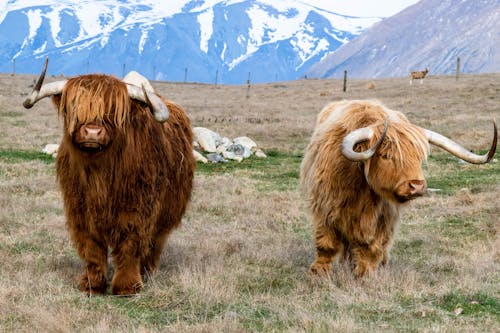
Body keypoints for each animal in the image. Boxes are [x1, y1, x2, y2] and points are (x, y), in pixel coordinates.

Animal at [23, 59, 195, 294]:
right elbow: (92, 248)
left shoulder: (137, 210)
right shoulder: (81, 211)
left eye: (113, 111)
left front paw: (127, 286)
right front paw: (91, 284)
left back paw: (147, 272)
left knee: (155, 243)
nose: (92, 132)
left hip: (169, 210)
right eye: (75, 108)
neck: (100, 175)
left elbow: (130, 245)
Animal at [300, 99, 496, 278]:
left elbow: (372, 248)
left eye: (418, 157)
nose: (417, 186)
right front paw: (318, 273)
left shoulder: (384, 217)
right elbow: (327, 243)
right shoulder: (325, 207)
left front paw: (366, 274)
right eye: (386, 155)